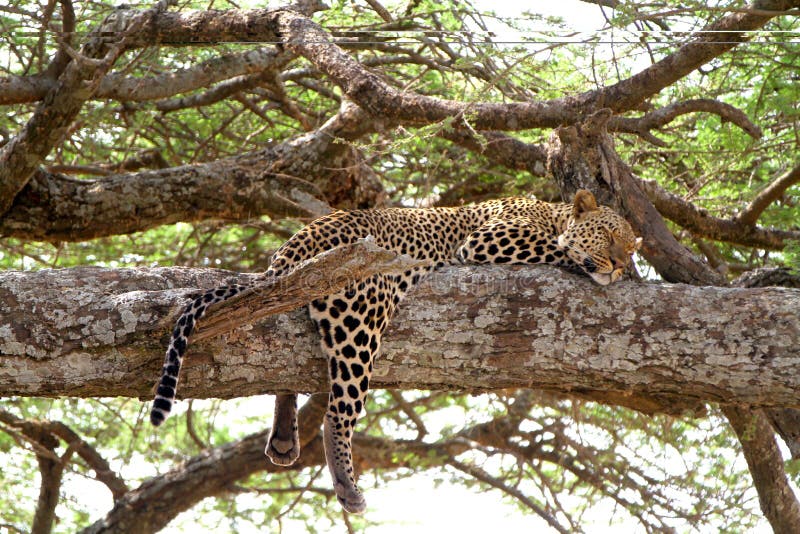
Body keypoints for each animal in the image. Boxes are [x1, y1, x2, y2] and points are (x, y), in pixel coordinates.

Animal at [150, 191, 640, 516]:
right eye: (609, 235)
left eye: (633, 244)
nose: (621, 264)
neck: (551, 211)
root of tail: (293, 246)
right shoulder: (489, 241)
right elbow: (560, 250)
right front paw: (593, 263)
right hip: (362, 318)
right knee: (338, 413)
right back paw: (348, 487)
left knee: (286, 372)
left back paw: (286, 437)